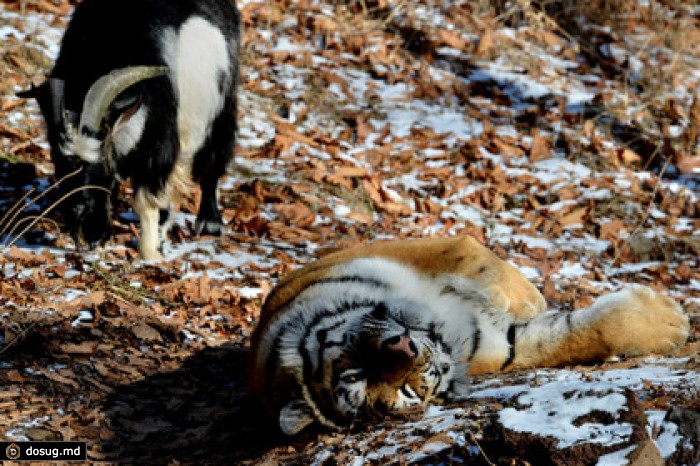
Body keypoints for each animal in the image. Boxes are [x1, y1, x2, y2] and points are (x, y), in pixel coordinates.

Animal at [21, 0, 241, 260]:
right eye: (57, 161)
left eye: (103, 163)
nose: (87, 235)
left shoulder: (160, 147)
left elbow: (146, 200)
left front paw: (151, 253)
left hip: (222, 105)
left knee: (215, 155)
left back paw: (209, 222)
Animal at [247, 235, 688, 436]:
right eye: (405, 392)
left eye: (354, 370)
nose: (405, 347)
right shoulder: (499, 345)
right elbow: (567, 336)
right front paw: (672, 323)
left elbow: (472, 254)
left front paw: (523, 297)